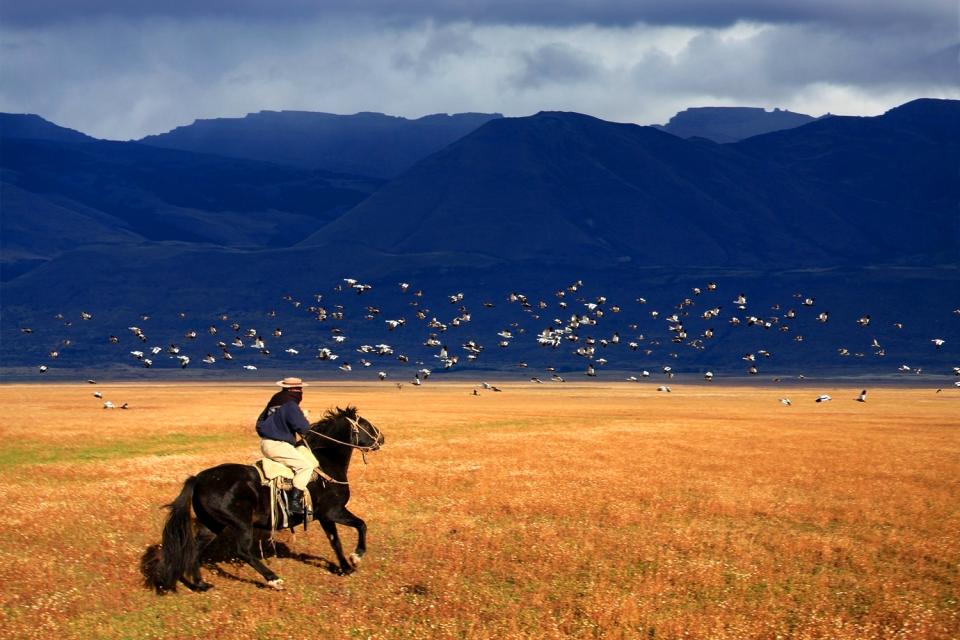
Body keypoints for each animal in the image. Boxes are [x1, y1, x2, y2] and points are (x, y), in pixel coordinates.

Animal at [142, 408, 382, 592]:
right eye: (365, 425)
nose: (381, 438)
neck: (325, 462)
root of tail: (198, 479)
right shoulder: (334, 512)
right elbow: (361, 525)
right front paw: (356, 557)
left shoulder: (325, 516)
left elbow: (335, 541)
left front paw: (345, 568)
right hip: (241, 524)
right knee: (243, 551)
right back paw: (274, 580)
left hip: (212, 525)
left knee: (196, 548)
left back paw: (201, 585)